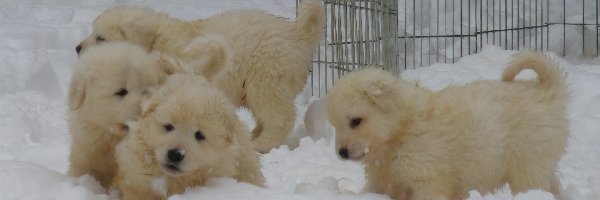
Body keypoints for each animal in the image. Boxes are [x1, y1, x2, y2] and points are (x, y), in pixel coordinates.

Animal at [326, 52, 568, 199]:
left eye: (356, 121)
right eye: (335, 125)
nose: (342, 152)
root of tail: (546, 92)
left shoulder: (427, 180)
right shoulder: (383, 181)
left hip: (528, 168)